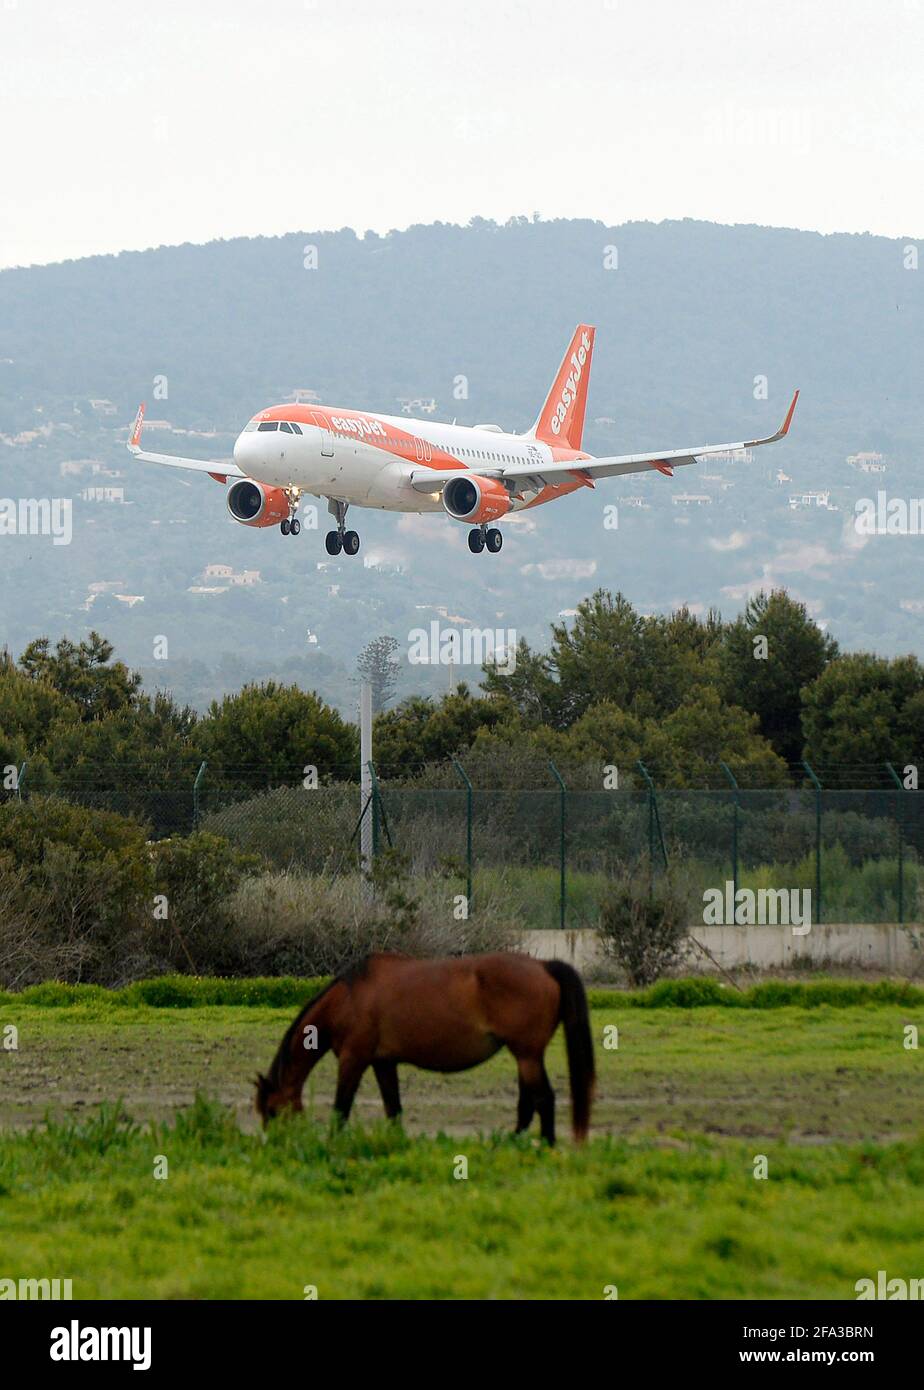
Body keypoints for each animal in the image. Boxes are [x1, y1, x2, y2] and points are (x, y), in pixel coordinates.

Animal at [255, 950, 594, 1145]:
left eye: (272, 1110)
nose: (272, 1144)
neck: (349, 999)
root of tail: (543, 966)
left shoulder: (354, 1060)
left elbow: (342, 1108)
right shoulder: (383, 1063)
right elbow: (393, 1109)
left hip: (527, 1055)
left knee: (544, 1099)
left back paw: (546, 1145)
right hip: (526, 1056)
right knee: (528, 1103)